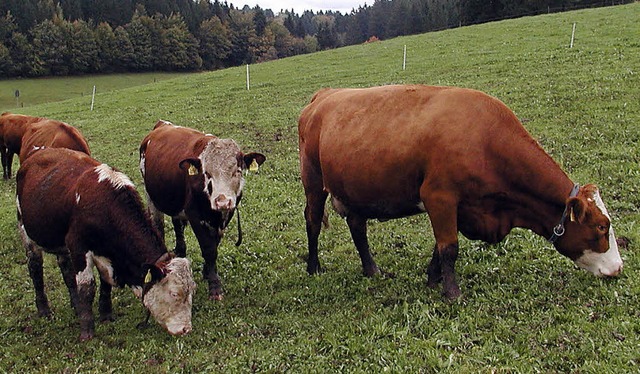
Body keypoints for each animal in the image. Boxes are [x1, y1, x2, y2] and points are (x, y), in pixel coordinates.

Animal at [16, 148, 196, 340]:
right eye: (174, 293)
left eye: (192, 289)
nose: (186, 329)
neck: (105, 205)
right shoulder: (78, 247)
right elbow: (87, 288)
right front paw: (87, 331)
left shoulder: (107, 253)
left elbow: (105, 283)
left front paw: (105, 314)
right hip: (27, 235)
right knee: (35, 270)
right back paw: (44, 309)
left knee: (66, 270)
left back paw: (75, 304)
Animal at [139, 120, 266, 300]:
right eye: (207, 173)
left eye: (237, 171)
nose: (222, 201)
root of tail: (162, 124)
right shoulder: (195, 216)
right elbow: (208, 248)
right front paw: (215, 286)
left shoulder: (226, 215)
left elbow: (215, 244)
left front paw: (207, 271)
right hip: (151, 197)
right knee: (159, 225)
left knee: (177, 225)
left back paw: (181, 250)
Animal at [298, 84, 624, 298]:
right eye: (601, 226)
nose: (618, 269)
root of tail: (324, 95)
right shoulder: (438, 196)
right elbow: (449, 247)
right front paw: (452, 292)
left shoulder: (458, 206)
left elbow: (440, 245)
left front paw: (433, 279)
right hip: (313, 182)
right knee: (312, 220)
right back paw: (314, 267)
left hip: (354, 189)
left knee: (357, 226)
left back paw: (372, 269)